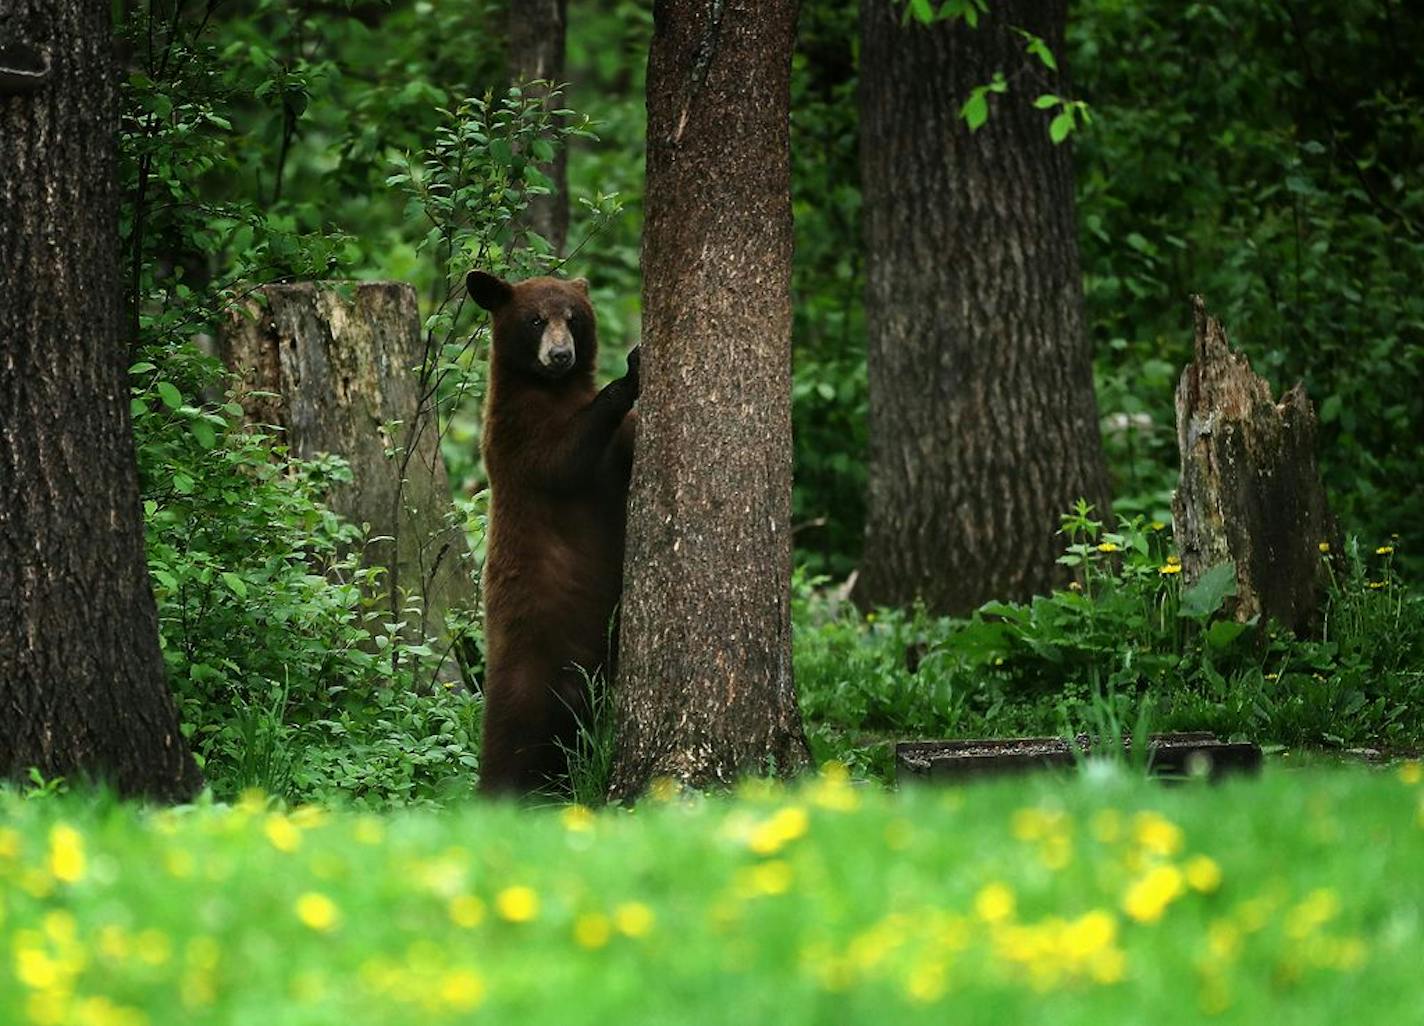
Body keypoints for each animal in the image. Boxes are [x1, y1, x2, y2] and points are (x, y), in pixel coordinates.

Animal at [467, 267, 640, 796]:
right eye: (535, 320)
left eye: (574, 317)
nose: (561, 355)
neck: (552, 389)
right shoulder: (515, 436)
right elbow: (562, 461)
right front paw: (631, 373)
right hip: (530, 653)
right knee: (515, 727)